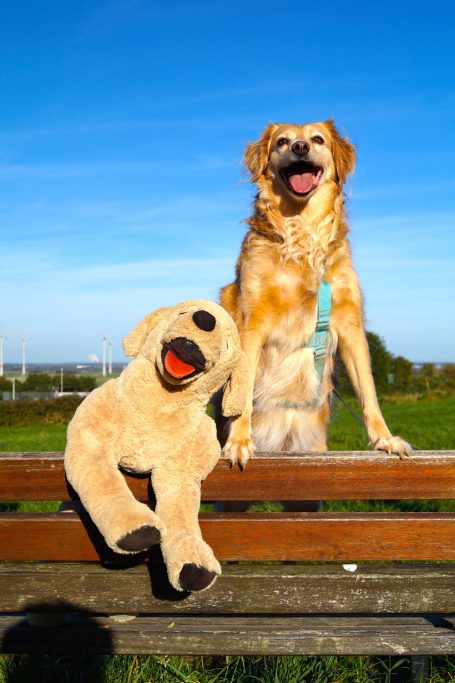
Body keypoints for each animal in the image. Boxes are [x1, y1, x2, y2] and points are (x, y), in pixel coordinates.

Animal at [221, 120, 414, 470]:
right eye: (282, 142)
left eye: (318, 139)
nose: (300, 147)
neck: (303, 234)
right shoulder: (249, 321)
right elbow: (242, 393)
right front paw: (239, 441)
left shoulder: (350, 325)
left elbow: (368, 390)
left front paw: (385, 439)